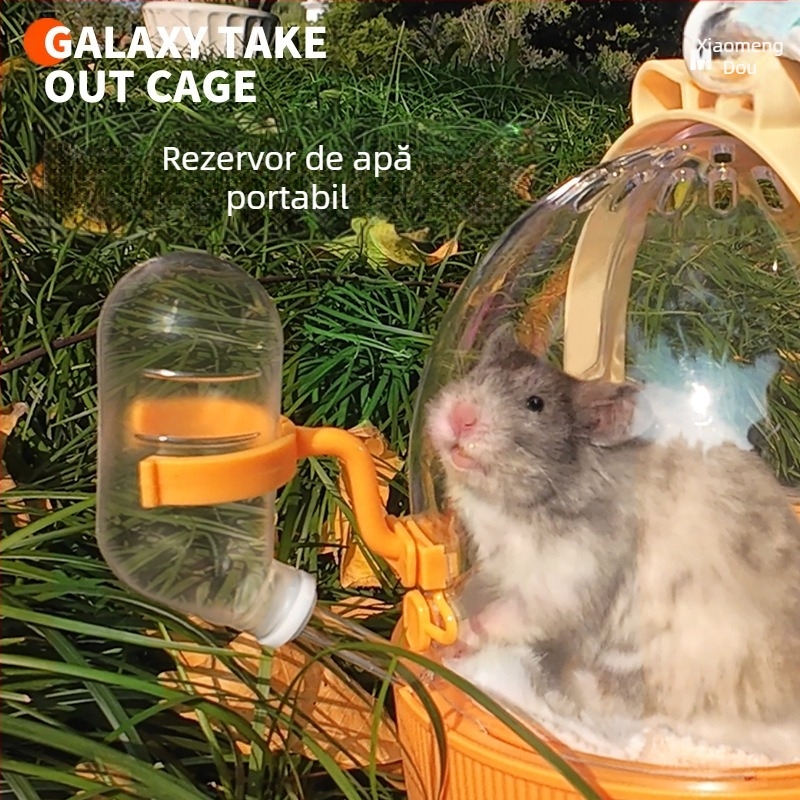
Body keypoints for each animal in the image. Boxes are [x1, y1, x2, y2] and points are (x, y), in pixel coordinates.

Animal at [424, 324, 800, 761]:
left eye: (535, 404)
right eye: (474, 375)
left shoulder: (561, 588)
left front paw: (461, 641)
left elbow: (502, 617)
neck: (519, 506)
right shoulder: (500, 569)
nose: (459, 416)